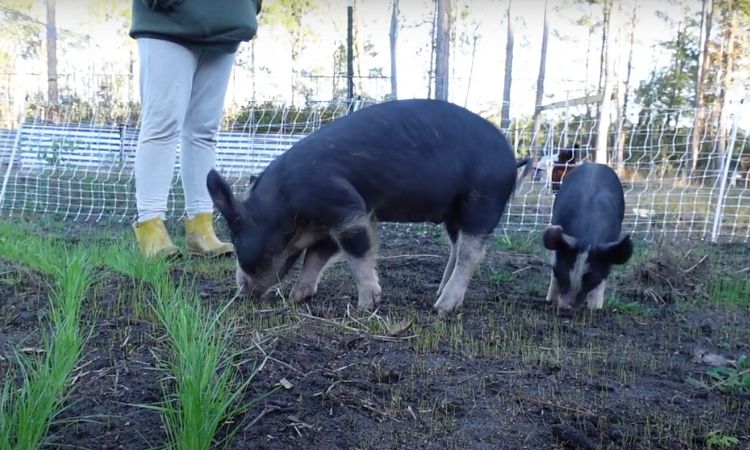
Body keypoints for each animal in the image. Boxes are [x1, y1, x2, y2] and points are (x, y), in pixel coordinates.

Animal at [206, 99, 529, 316]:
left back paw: (442, 307)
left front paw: (365, 306)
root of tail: (511, 158)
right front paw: (299, 296)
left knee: (471, 252)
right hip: (454, 212)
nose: (242, 292)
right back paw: (439, 291)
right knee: (456, 246)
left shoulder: (346, 209)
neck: (286, 207)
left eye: (238, 243)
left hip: (482, 201)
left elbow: (357, 255)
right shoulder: (329, 224)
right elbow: (316, 256)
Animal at [542, 163, 633, 311]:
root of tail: (595, 164)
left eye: (591, 278)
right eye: (563, 272)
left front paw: (595, 309)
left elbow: (602, 281)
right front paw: (549, 301)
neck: (587, 238)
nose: (566, 307)